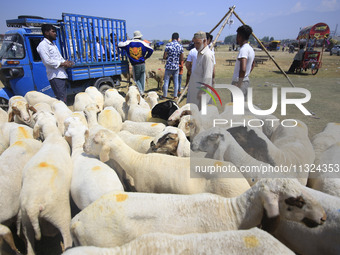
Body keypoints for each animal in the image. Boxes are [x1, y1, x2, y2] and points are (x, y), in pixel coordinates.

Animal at [17, 111, 73, 255]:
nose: (38, 112)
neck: (52, 136)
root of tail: (33, 205)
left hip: (26, 220)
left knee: (30, 245)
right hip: (60, 213)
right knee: (67, 238)